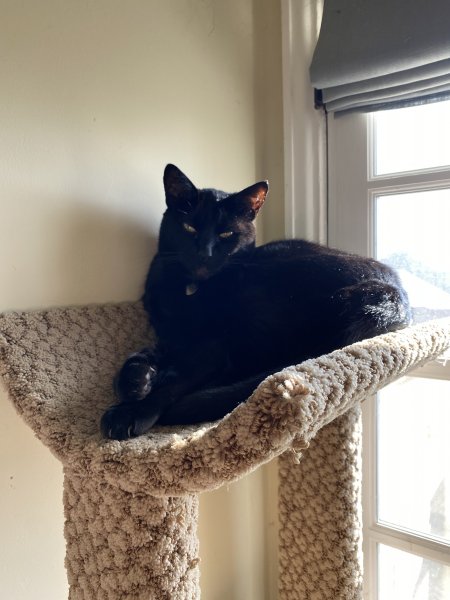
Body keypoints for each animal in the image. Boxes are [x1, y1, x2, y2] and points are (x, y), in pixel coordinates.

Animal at [101, 164, 411, 439]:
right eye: (189, 228)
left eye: (226, 234)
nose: (204, 254)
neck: (191, 290)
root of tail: (394, 293)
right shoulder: (172, 337)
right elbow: (142, 355)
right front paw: (135, 379)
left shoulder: (212, 348)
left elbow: (179, 380)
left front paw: (132, 410)